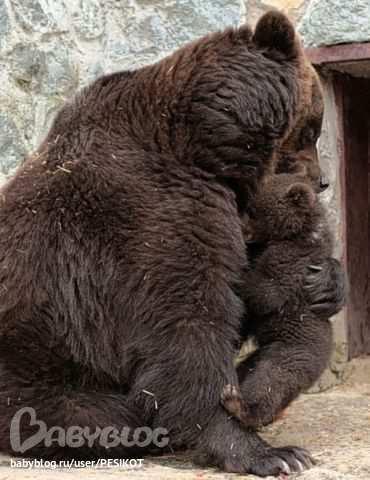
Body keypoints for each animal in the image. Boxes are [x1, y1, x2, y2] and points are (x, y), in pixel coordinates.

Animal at [0, 11, 344, 476]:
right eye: (311, 129)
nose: (322, 180)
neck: (201, 147)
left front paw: (327, 282)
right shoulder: (151, 213)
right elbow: (187, 323)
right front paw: (268, 452)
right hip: (38, 362)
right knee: (90, 414)